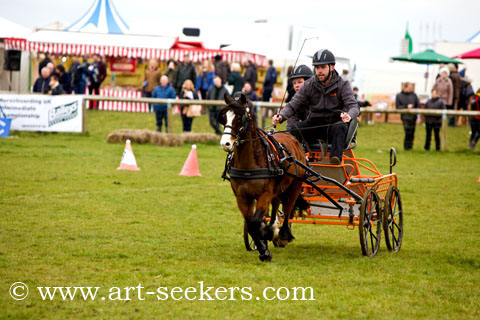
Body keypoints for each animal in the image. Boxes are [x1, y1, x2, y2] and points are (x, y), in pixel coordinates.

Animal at [218, 94, 306, 262]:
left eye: (239, 117)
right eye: (224, 117)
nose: (225, 144)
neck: (249, 166)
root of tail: (292, 137)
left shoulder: (264, 194)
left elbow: (255, 222)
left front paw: (265, 248)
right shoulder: (241, 197)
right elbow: (251, 224)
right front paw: (263, 245)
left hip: (295, 185)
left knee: (288, 207)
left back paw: (282, 235)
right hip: (279, 188)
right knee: (276, 205)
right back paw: (272, 227)